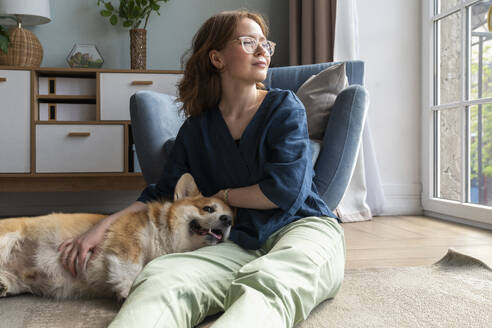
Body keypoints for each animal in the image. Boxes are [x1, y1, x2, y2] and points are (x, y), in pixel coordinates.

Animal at [0, 174, 234, 300]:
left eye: (232, 217)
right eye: (208, 208)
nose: (228, 220)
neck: (164, 237)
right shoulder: (127, 243)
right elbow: (130, 270)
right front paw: (128, 291)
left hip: (18, 281)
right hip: (7, 238)